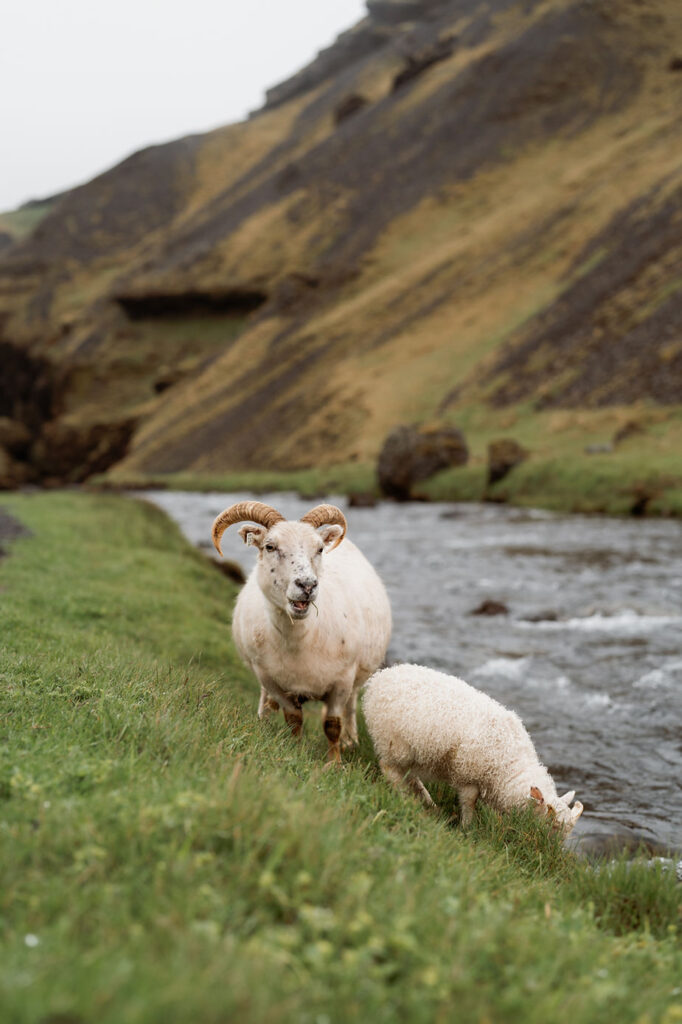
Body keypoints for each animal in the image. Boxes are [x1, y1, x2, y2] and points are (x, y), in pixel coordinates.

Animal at [212, 501, 392, 763]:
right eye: (270, 546)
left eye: (319, 549)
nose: (307, 585)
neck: (299, 639)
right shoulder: (271, 679)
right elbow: (294, 720)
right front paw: (295, 750)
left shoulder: (342, 680)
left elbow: (332, 724)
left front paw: (334, 763)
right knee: (266, 700)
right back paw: (263, 719)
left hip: (356, 677)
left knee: (350, 708)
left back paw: (350, 742)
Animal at [362, 664, 583, 832]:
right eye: (552, 825)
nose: (551, 852)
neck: (509, 767)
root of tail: (379, 677)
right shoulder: (468, 775)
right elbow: (469, 802)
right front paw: (468, 827)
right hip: (393, 744)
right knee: (390, 770)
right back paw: (405, 797)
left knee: (409, 774)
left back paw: (427, 801)